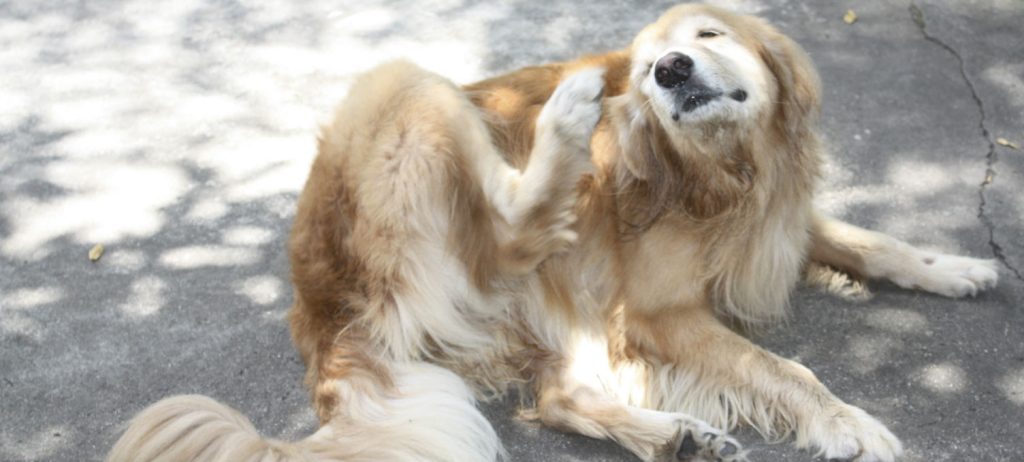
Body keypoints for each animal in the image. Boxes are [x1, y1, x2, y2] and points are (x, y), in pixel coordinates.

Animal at [108, 3, 995, 462]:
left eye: (708, 35)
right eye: (650, 69)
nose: (668, 71)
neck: (723, 174)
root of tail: (317, 304)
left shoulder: (777, 221)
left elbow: (871, 240)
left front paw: (953, 266)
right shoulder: (657, 313)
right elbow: (783, 369)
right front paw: (847, 423)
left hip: (551, 306)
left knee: (557, 394)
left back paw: (673, 438)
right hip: (406, 88)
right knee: (508, 230)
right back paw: (564, 123)